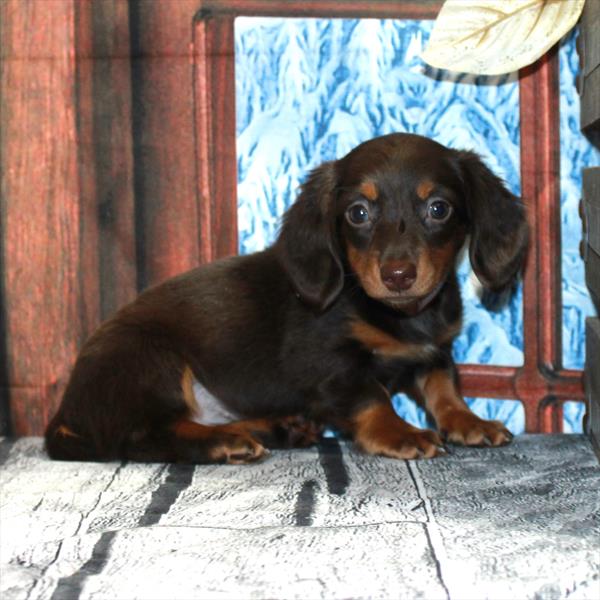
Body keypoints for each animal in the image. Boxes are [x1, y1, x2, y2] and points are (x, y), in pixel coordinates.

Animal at [45, 134, 524, 464]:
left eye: (439, 208)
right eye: (358, 213)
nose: (398, 276)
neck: (399, 314)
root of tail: (67, 410)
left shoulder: (434, 351)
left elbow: (444, 387)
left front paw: (469, 422)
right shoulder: (329, 364)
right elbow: (371, 397)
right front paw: (400, 433)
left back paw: (277, 429)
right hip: (150, 358)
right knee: (143, 436)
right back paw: (226, 442)